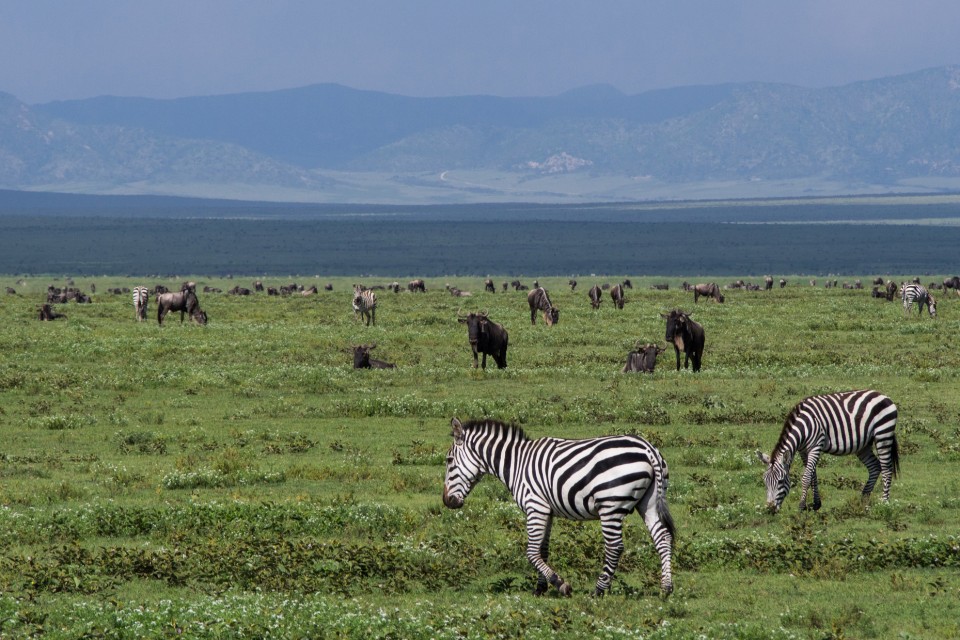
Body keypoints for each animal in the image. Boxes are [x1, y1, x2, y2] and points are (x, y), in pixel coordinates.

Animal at [442, 417, 675, 596]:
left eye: (449, 460)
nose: (447, 501)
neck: (516, 463)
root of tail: (648, 449)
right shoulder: (547, 510)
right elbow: (542, 550)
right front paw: (540, 589)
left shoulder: (535, 506)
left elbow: (531, 552)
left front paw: (560, 584)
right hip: (648, 502)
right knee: (663, 538)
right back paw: (666, 588)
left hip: (610, 505)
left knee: (615, 547)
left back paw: (599, 590)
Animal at [757, 390, 899, 513]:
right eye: (765, 481)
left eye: (780, 481)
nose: (770, 509)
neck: (804, 426)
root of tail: (882, 395)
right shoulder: (803, 450)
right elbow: (813, 475)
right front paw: (816, 504)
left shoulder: (816, 446)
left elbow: (806, 477)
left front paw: (801, 506)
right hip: (863, 445)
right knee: (875, 466)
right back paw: (863, 499)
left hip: (883, 434)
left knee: (886, 469)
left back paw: (884, 503)